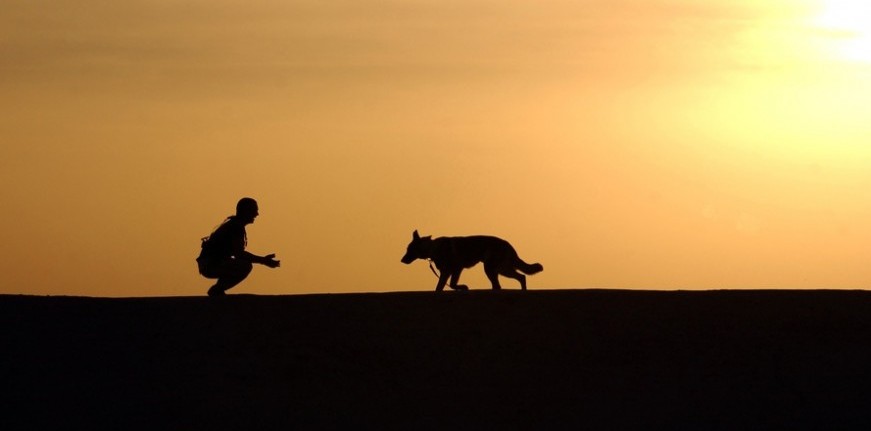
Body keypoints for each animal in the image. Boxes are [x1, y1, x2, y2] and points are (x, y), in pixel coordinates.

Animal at [404, 231, 544, 292]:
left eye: (409, 249)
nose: (402, 260)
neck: (432, 247)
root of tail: (509, 245)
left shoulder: (456, 269)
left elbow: (452, 284)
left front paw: (463, 287)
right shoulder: (446, 272)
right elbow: (439, 287)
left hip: (494, 268)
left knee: (516, 279)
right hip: (499, 269)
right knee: (517, 278)